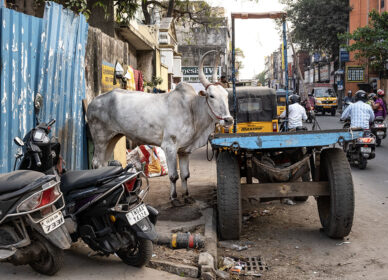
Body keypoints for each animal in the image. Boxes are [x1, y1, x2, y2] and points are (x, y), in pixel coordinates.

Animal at [87, 50, 233, 205]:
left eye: (226, 95)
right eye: (211, 96)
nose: (228, 120)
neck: (192, 109)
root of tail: (93, 102)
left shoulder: (184, 150)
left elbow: (185, 175)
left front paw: (187, 196)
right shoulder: (170, 146)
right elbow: (174, 175)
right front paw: (174, 198)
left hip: (113, 137)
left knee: (104, 163)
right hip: (100, 138)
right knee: (97, 163)